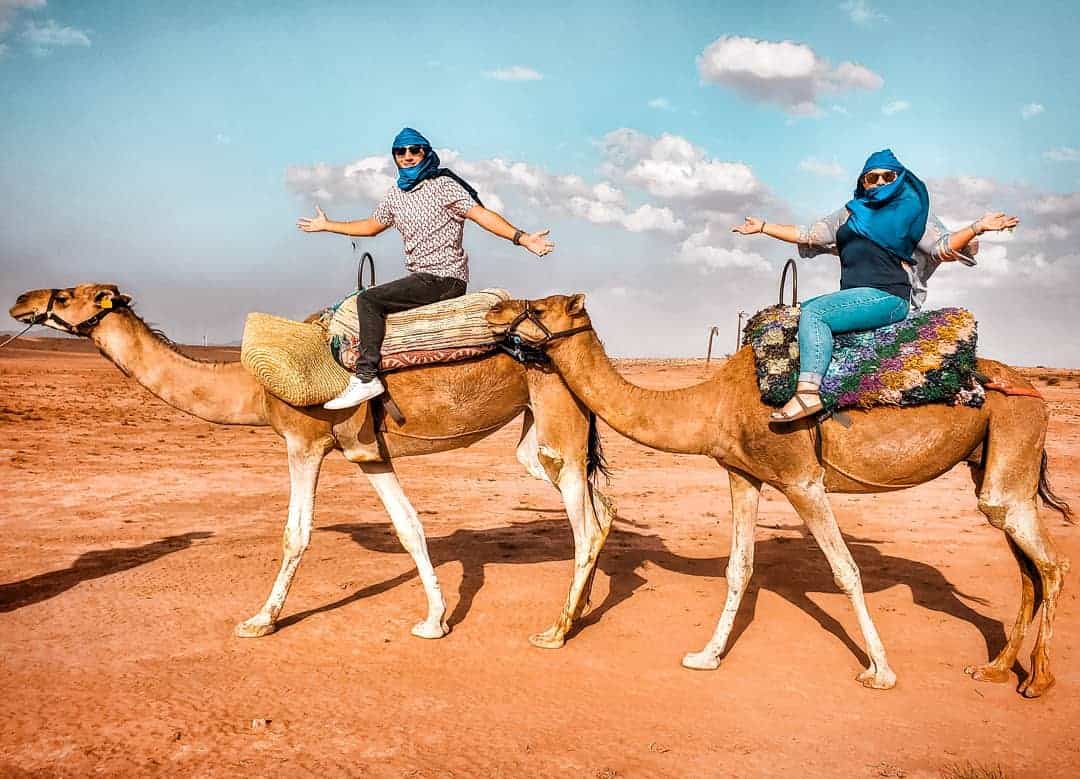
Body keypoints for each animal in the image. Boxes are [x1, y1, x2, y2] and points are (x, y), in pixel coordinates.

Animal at [6, 285, 617, 643]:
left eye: (68, 295)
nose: (20, 300)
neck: (252, 386)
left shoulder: (301, 439)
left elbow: (295, 532)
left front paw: (260, 620)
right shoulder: (369, 452)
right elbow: (409, 528)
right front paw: (434, 620)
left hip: (558, 410)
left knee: (585, 524)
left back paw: (557, 629)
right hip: (539, 434)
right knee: (599, 507)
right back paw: (581, 608)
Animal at [488, 293, 1071, 695]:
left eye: (537, 305)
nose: (495, 310)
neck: (715, 402)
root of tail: (1034, 394)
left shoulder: (800, 479)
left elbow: (845, 571)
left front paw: (880, 672)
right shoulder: (742, 473)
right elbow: (738, 568)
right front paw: (705, 656)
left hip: (1014, 440)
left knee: (1050, 564)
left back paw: (1038, 679)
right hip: (988, 464)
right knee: (1026, 568)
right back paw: (995, 669)